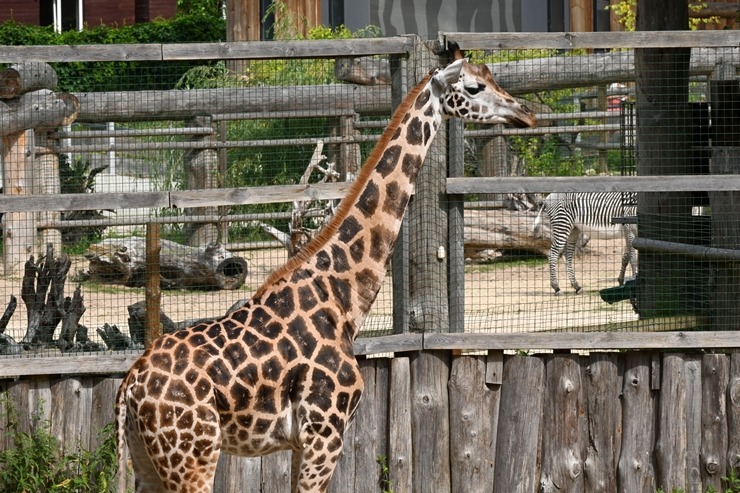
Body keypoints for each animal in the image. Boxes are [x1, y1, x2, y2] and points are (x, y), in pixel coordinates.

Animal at [112, 43, 536, 492]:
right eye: (474, 87)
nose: (526, 113)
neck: (343, 296)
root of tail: (129, 386)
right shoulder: (325, 432)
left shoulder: (304, 441)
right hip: (193, 458)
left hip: (148, 460)